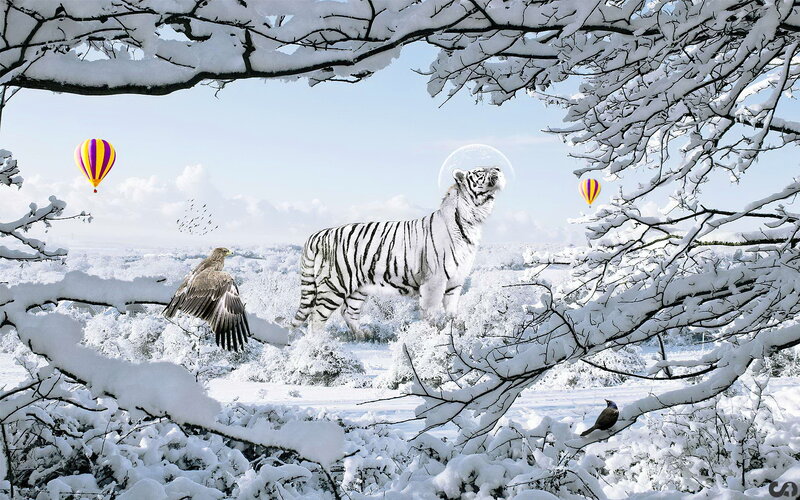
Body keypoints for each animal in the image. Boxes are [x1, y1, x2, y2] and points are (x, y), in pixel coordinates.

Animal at [291, 166, 505, 336]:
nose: (498, 169)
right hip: (334, 285)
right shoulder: (434, 282)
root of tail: (316, 234)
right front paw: (432, 335)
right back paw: (319, 344)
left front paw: (454, 334)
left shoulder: (456, 282)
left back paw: (363, 335)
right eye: (480, 171)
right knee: (316, 317)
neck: (472, 221)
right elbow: (432, 313)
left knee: (348, 312)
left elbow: (452, 313)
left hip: (359, 288)